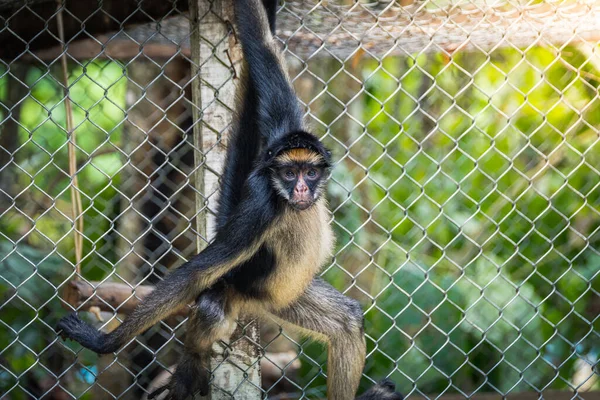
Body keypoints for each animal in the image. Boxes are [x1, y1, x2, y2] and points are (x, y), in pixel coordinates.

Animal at [56, 0, 400, 400]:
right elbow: (196, 272)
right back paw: (190, 371)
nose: (301, 189)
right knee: (209, 307)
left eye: (309, 173)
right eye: (289, 175)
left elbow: (264, 48)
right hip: (242, 288)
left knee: (347, 320)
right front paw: (103, 342)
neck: (281, 196)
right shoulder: (261, 207)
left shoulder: (284, 131)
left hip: (285, 296)